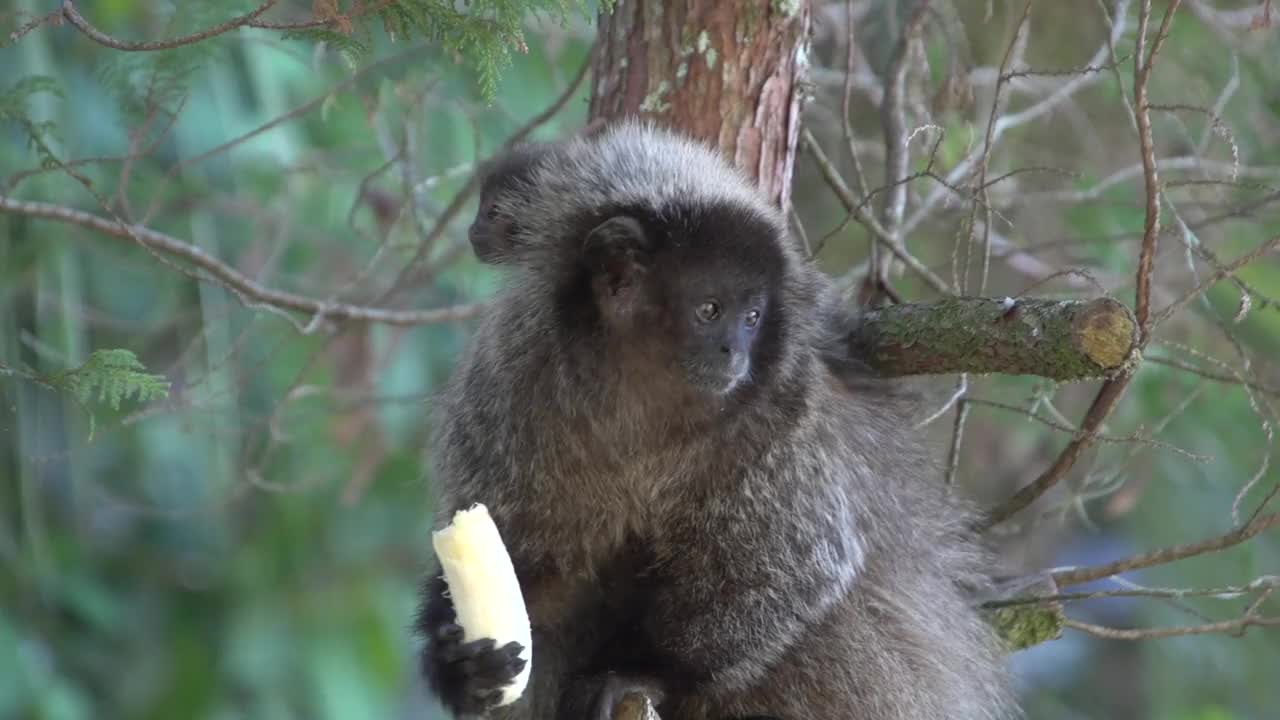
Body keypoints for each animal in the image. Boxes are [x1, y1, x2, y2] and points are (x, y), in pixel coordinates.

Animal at [417, 120, 1018, 712]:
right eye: (710, 310)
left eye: (752, 316)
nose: (736, 351)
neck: (636, 399)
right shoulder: (508, 381)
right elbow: (533, 563)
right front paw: (457, 659)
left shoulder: (783, 412)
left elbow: (794, 572)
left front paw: (640, 672)